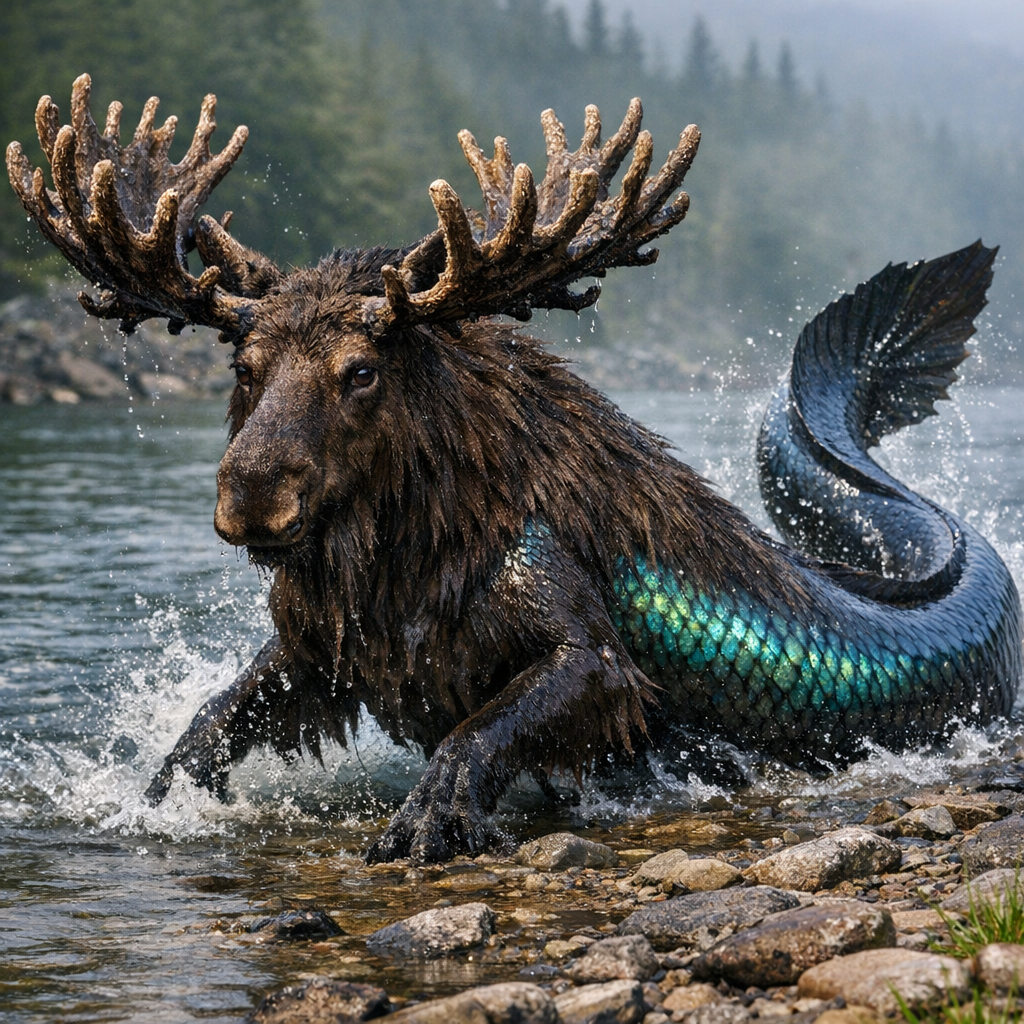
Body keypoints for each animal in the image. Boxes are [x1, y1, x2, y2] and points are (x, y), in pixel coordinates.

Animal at [8, 75, 1021, 862]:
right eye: (243, 367)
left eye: (361, 370)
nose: (252, 496)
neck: (410, 539)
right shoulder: (329, 642)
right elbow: (213, 721)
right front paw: (151, 800)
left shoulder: (584, 645)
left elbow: (486, 727)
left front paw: (427, 821)